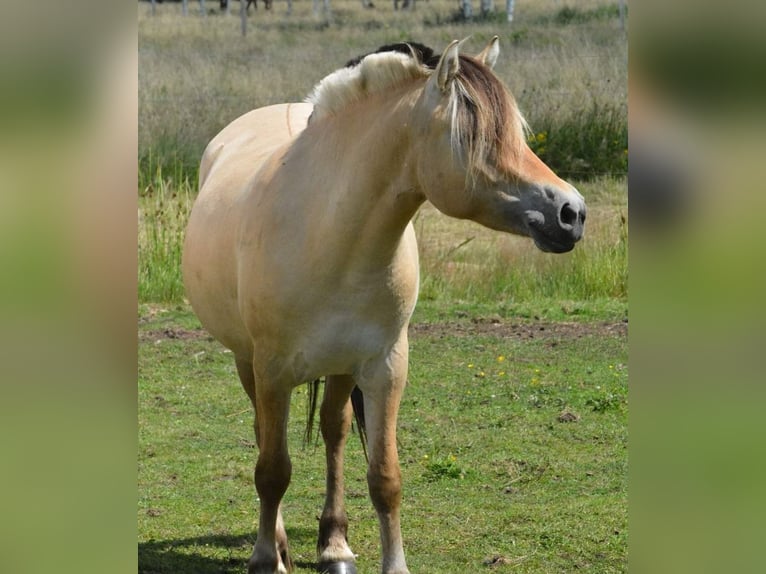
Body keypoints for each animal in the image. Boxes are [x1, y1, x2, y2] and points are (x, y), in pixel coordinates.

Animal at [184, 39, 588, 574]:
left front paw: (388, 561)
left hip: (339, 368)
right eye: (474, 136)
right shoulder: (271, 369)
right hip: (246, 361)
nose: (572, 213)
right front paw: (266, 558)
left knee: (333, 432)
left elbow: (385, 477)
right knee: (264, 435)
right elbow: (272, 470)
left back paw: (334, 545)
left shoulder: (385, 367)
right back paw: (281, 543)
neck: (328, 232)